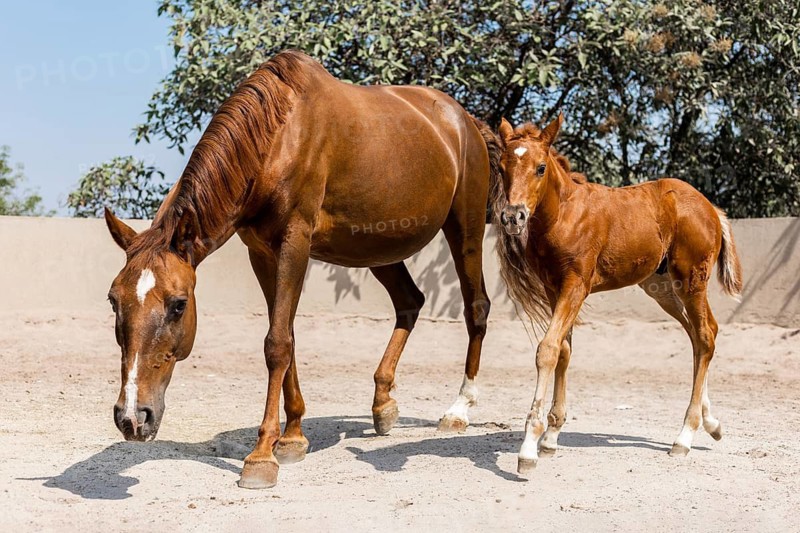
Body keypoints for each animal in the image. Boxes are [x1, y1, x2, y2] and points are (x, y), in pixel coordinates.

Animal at [103, 50, 499, 489]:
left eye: (178, 304)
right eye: (113, 301)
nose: (132, 418)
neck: (277, 138)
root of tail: (464, 120)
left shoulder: (295, 242)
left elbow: (277, 343)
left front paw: (262, 455)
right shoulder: (261, 252)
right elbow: (286, 337)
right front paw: (292, 437)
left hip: (465, 228)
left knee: (476, 308)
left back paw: (459, 409)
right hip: (375, 248)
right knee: (409, 302)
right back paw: (383, 403)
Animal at [493, 113, 743, 475]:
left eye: (540, 167)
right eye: (501, 167)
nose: (513, 217)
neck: (563, 216)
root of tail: (711, 207)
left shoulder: (576, 286)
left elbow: (548, 349)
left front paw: (529, 447)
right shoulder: (554, 289)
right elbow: (565, 350)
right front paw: (551, 436)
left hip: (691, 279)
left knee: (706, 335)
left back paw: (684, 435)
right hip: (661, 288)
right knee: (699, 336)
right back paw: (711, 423)